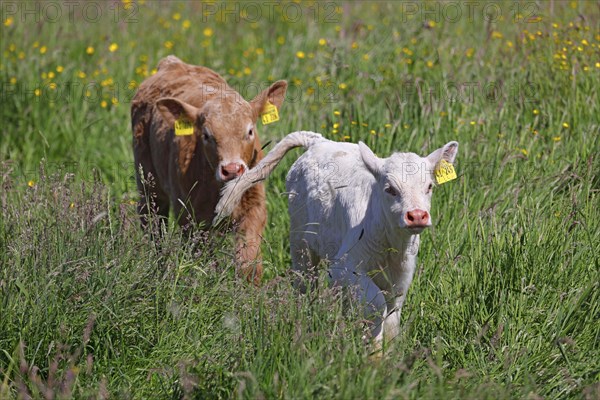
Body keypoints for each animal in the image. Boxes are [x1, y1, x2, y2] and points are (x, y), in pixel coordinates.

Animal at [131, 54, 288, 282]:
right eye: (206, 135)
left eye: (250, 131)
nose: (232, 170)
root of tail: (173, 63)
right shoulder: (188, 215)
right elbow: (199, 259)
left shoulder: (254, 207)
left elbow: (248, 265)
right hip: (148, 181)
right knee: (152, 221)